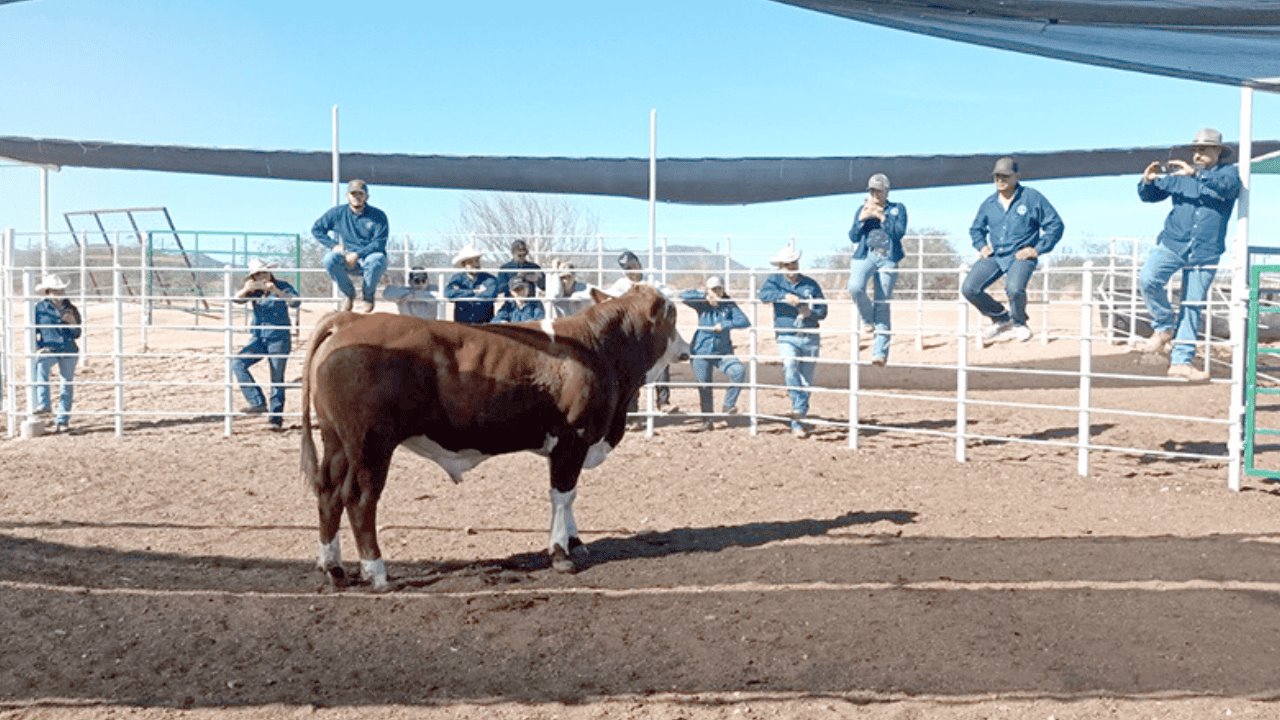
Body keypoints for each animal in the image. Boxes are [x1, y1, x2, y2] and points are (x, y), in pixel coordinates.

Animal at [298, 283, 691, 591]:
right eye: (672, 313)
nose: (686, 347)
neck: (598, 350)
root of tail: (351, 320)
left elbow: (569, 498)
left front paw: (575, 542)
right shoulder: (572, 439)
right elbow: (562, 495)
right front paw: (561, 553)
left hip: (336, 440)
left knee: (328, 492)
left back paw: (333, 568)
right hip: (370, 444)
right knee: (360, 499)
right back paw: (376, 572)